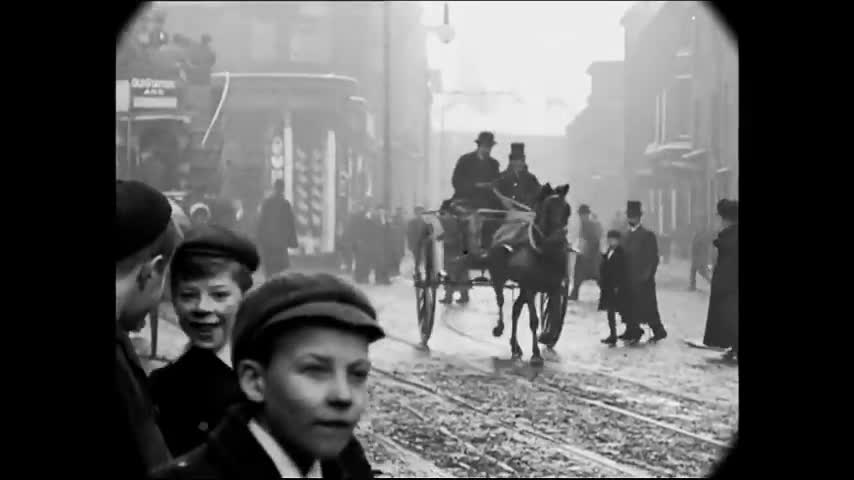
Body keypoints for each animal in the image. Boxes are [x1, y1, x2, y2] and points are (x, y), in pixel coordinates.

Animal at [484, 184, 572, 368]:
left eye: (567, 210)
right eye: (548, 209)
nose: (560, 241)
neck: (545, 253)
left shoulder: (554, 286)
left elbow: (554, 313)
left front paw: (548, 336)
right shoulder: (530, 286)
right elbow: (534, 320)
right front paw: (536, 355)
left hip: (525, 287)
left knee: (516, 309)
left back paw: (515, 347)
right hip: (499, 277)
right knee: (501, 301)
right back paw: (500, 328)